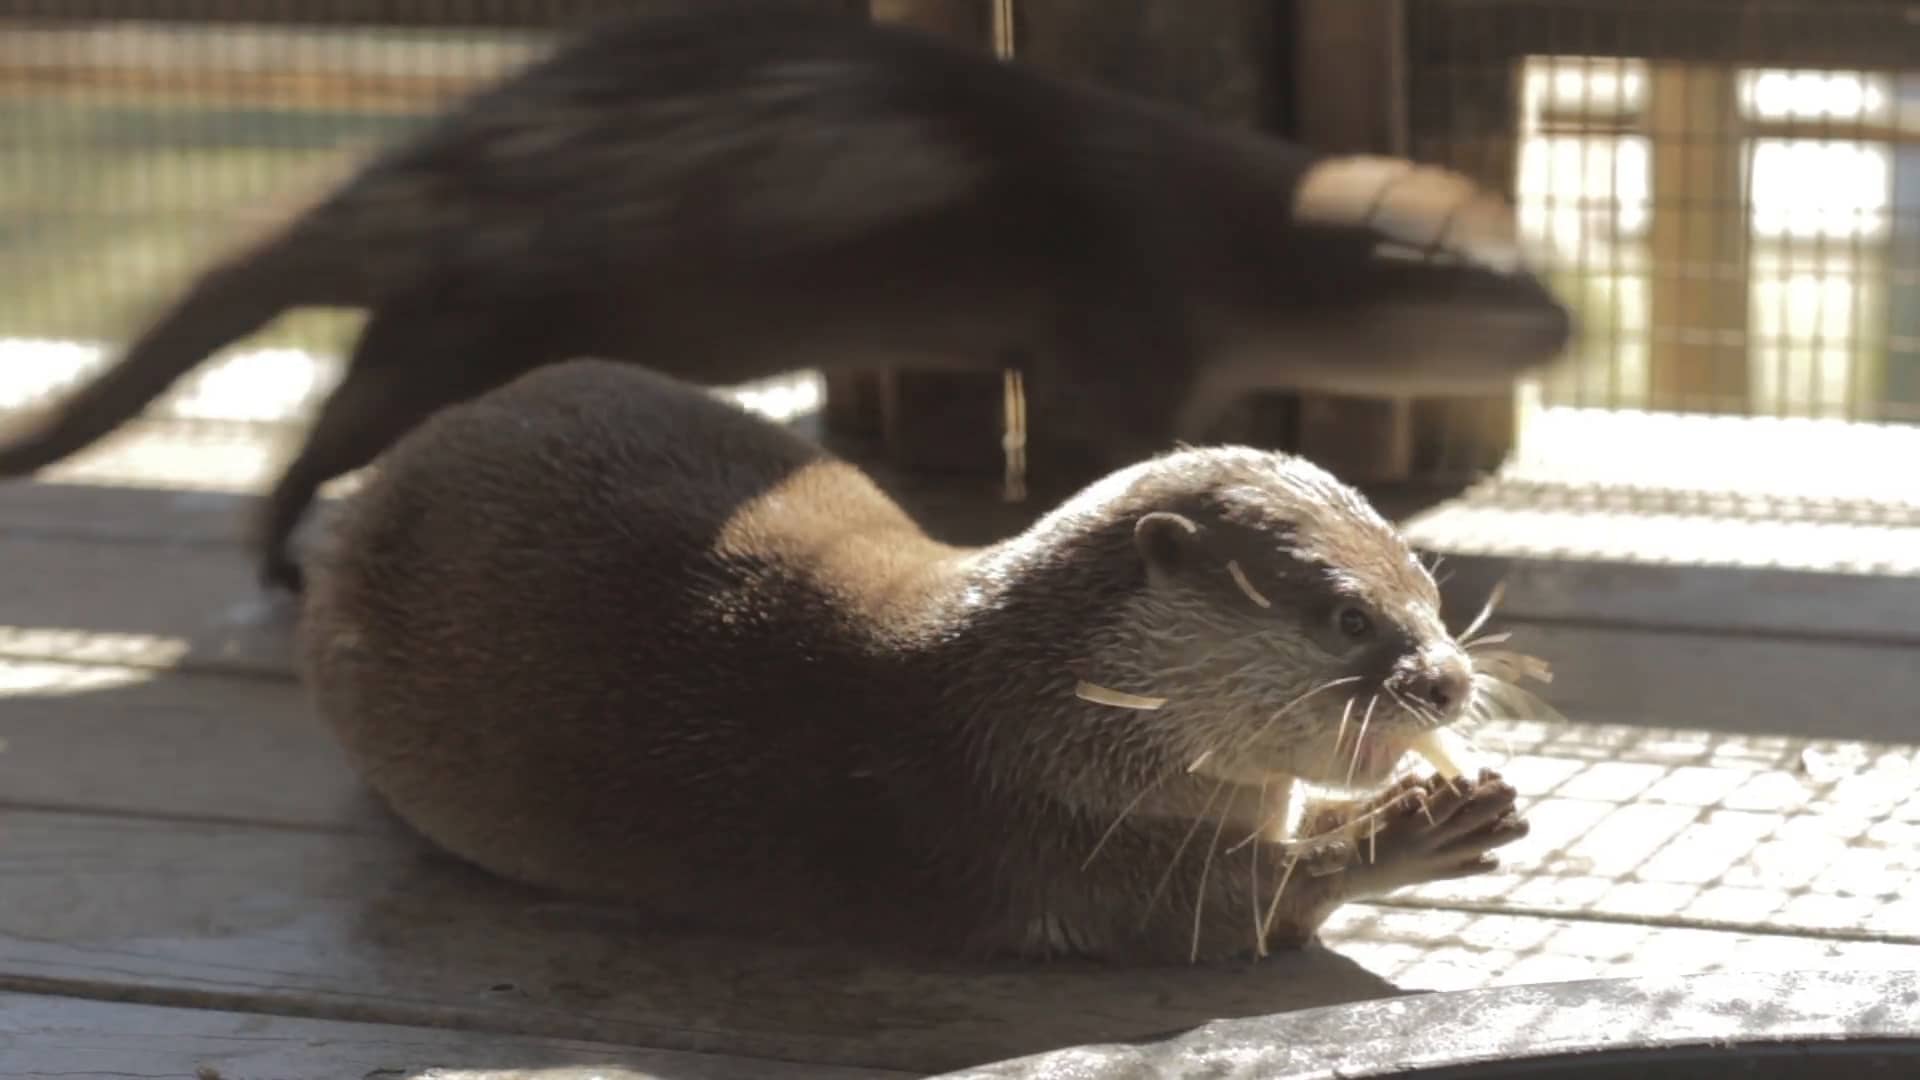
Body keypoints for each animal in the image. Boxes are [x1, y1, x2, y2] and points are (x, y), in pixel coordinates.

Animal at [0, 4, 1566, 591]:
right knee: (335, 422)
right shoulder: (1126, 302)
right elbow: (1101, 433)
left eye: (1542, 258)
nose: (1570, 324)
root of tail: (430, 166)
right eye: (1507, 286)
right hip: (485, 306)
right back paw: (275, 552)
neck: (1200, 218)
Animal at [299, 359, 1528, 957]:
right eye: (1348, 619)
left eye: (1428, 593)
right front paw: (1412, 831)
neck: (1033, 717)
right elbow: (1234, 914)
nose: (1448, 680)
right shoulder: (1036, 836)